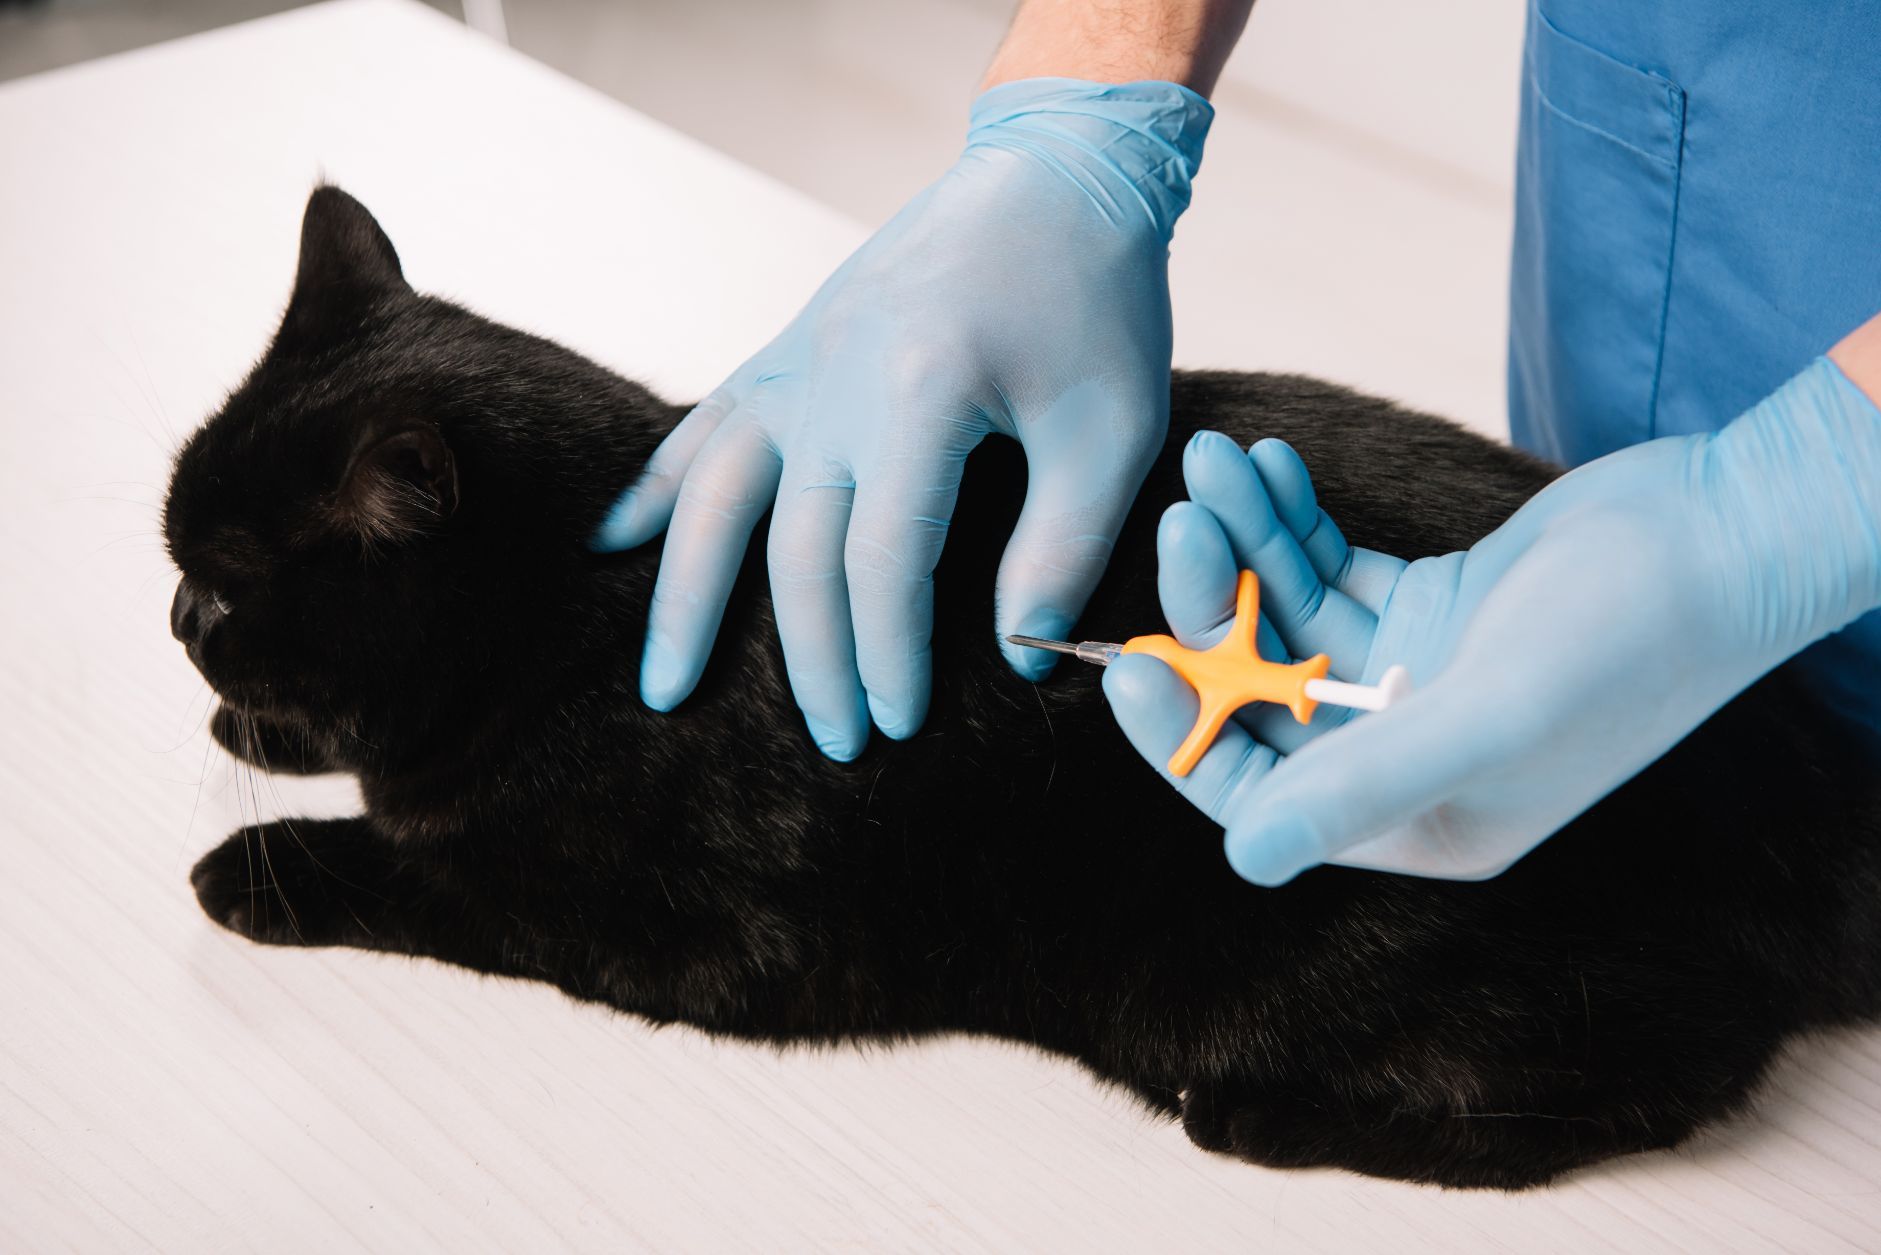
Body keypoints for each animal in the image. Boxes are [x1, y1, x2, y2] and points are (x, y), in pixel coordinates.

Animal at [165, 186, 1881, 1189]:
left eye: (228, 585)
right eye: (180, 551)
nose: (179, 612)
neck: (597, 610)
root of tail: (1811, 778)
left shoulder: (692, 927)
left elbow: (446, 870)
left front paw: (263, 859)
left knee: (1640, 1098)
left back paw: (1268, 1117)